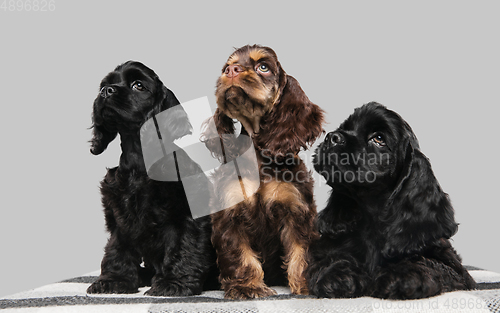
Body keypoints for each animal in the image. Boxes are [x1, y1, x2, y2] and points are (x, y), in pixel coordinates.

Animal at [88, 60, 217, 294]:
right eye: (104, 85)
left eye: (138, 85)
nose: (106, 91)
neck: (139, 164)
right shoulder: (120, 217)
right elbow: (116, 249)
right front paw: (114, 280)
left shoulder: (188, 215)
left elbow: (184, 246)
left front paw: (174, 283)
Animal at [306, 102, 474, 298]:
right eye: (345, 127)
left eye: (379, 138)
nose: (331, 137)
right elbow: (330, 259)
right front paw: (338, 274)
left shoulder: (458, 272)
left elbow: (432, 263)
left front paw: (405, 275)